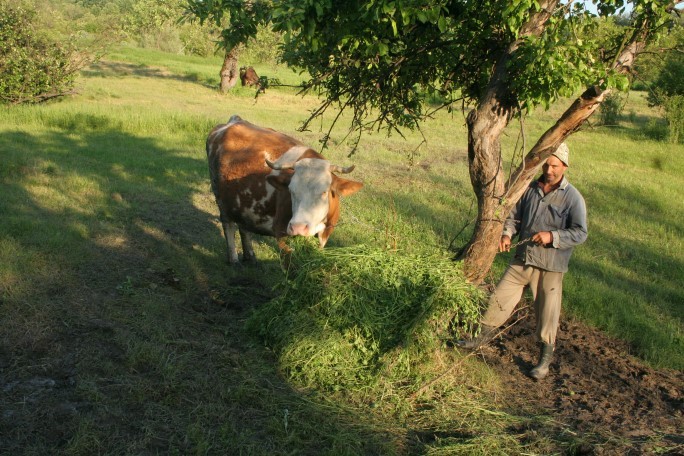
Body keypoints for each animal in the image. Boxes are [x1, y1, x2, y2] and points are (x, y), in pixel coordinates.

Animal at [206, 115, 364, 264]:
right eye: (291, 191)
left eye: (324, 192)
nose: (298, 228)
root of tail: (234, 121)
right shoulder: (281, 231)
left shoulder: (325, 234)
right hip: (219, 196)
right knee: (228, 224)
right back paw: (234, 259)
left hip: (242, 203)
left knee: (243, 226)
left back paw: (250, 257)